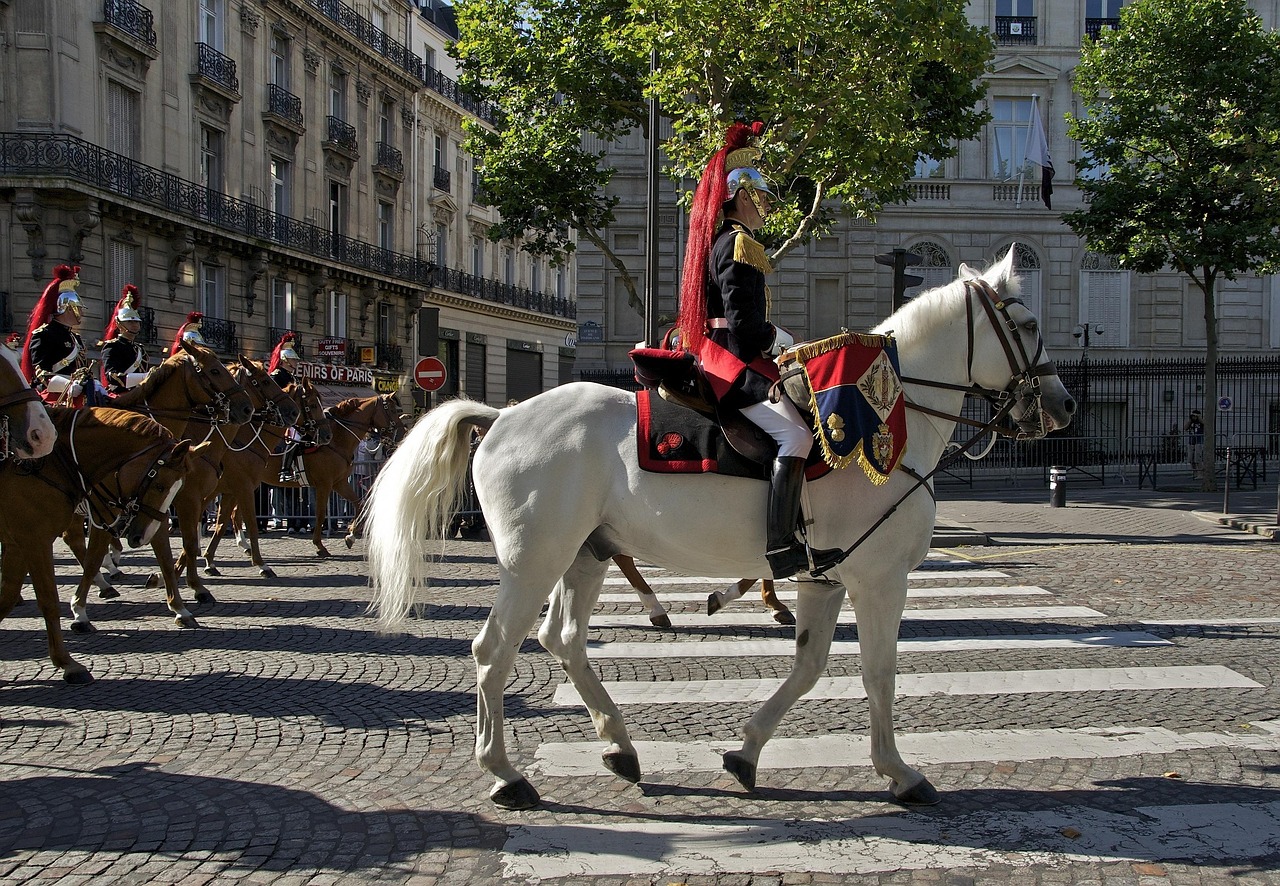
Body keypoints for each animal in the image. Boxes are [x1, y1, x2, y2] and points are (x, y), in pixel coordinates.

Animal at [0, 407, 192, 686]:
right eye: (159, 485)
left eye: (176, 487)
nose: (138, 538)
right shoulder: (37, 538)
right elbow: (56, 592)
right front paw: (74, 635)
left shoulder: (19, 543)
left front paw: (179, 607)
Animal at [368, 249, 1070, 809]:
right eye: (1029, 323)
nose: (1063, 406)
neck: (885, 417)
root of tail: (503, 415)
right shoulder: (879, 581)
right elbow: (878, 673)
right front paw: (899, 773)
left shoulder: (825, 578)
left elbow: (810, 665)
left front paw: (746, 753)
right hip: (532, 560)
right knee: (494, 650)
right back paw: (506, 774)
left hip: (587, 554)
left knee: (561, 639)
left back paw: (619, 746)